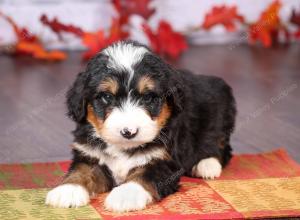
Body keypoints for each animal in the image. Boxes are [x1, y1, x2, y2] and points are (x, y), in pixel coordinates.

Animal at [45, 40, 236, 212]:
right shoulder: (90, 153)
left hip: (220, 115)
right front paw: (68, 190)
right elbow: (81, 170)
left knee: (221, 146)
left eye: (148, 97)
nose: (129, 132)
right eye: (106, 97)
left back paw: (207, 165)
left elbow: (143, 174)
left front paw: (126, 195)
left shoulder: (164, 159)